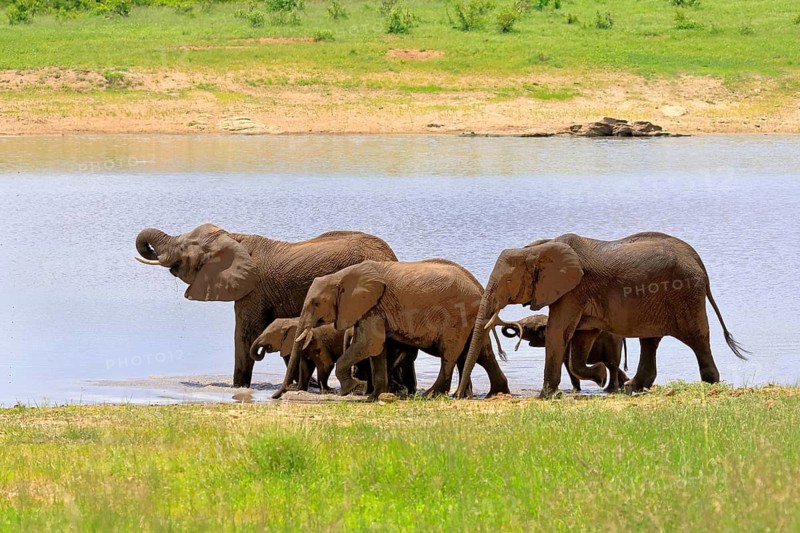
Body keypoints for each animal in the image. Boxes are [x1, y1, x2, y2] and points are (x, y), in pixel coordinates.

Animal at [273, 259, 511, 400]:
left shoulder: (373, 306)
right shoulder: (372, 308)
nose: (276, 396)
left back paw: (431, 395)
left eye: (315, 303)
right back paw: (495, 393)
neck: (341, 275)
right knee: (482, 353)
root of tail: (479, 286)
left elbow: (369, 344)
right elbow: (377, 349)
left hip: (456, 317)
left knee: (450, 354)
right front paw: (374, 397)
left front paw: (353, 388)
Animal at [495, 313, 629, 392]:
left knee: (612, 365)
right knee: (612, 365)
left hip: (612, 342)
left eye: (526, 327)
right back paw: (624, 384)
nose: (515, 348)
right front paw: (575, 390)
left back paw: (609, 389)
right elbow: (565, 363)